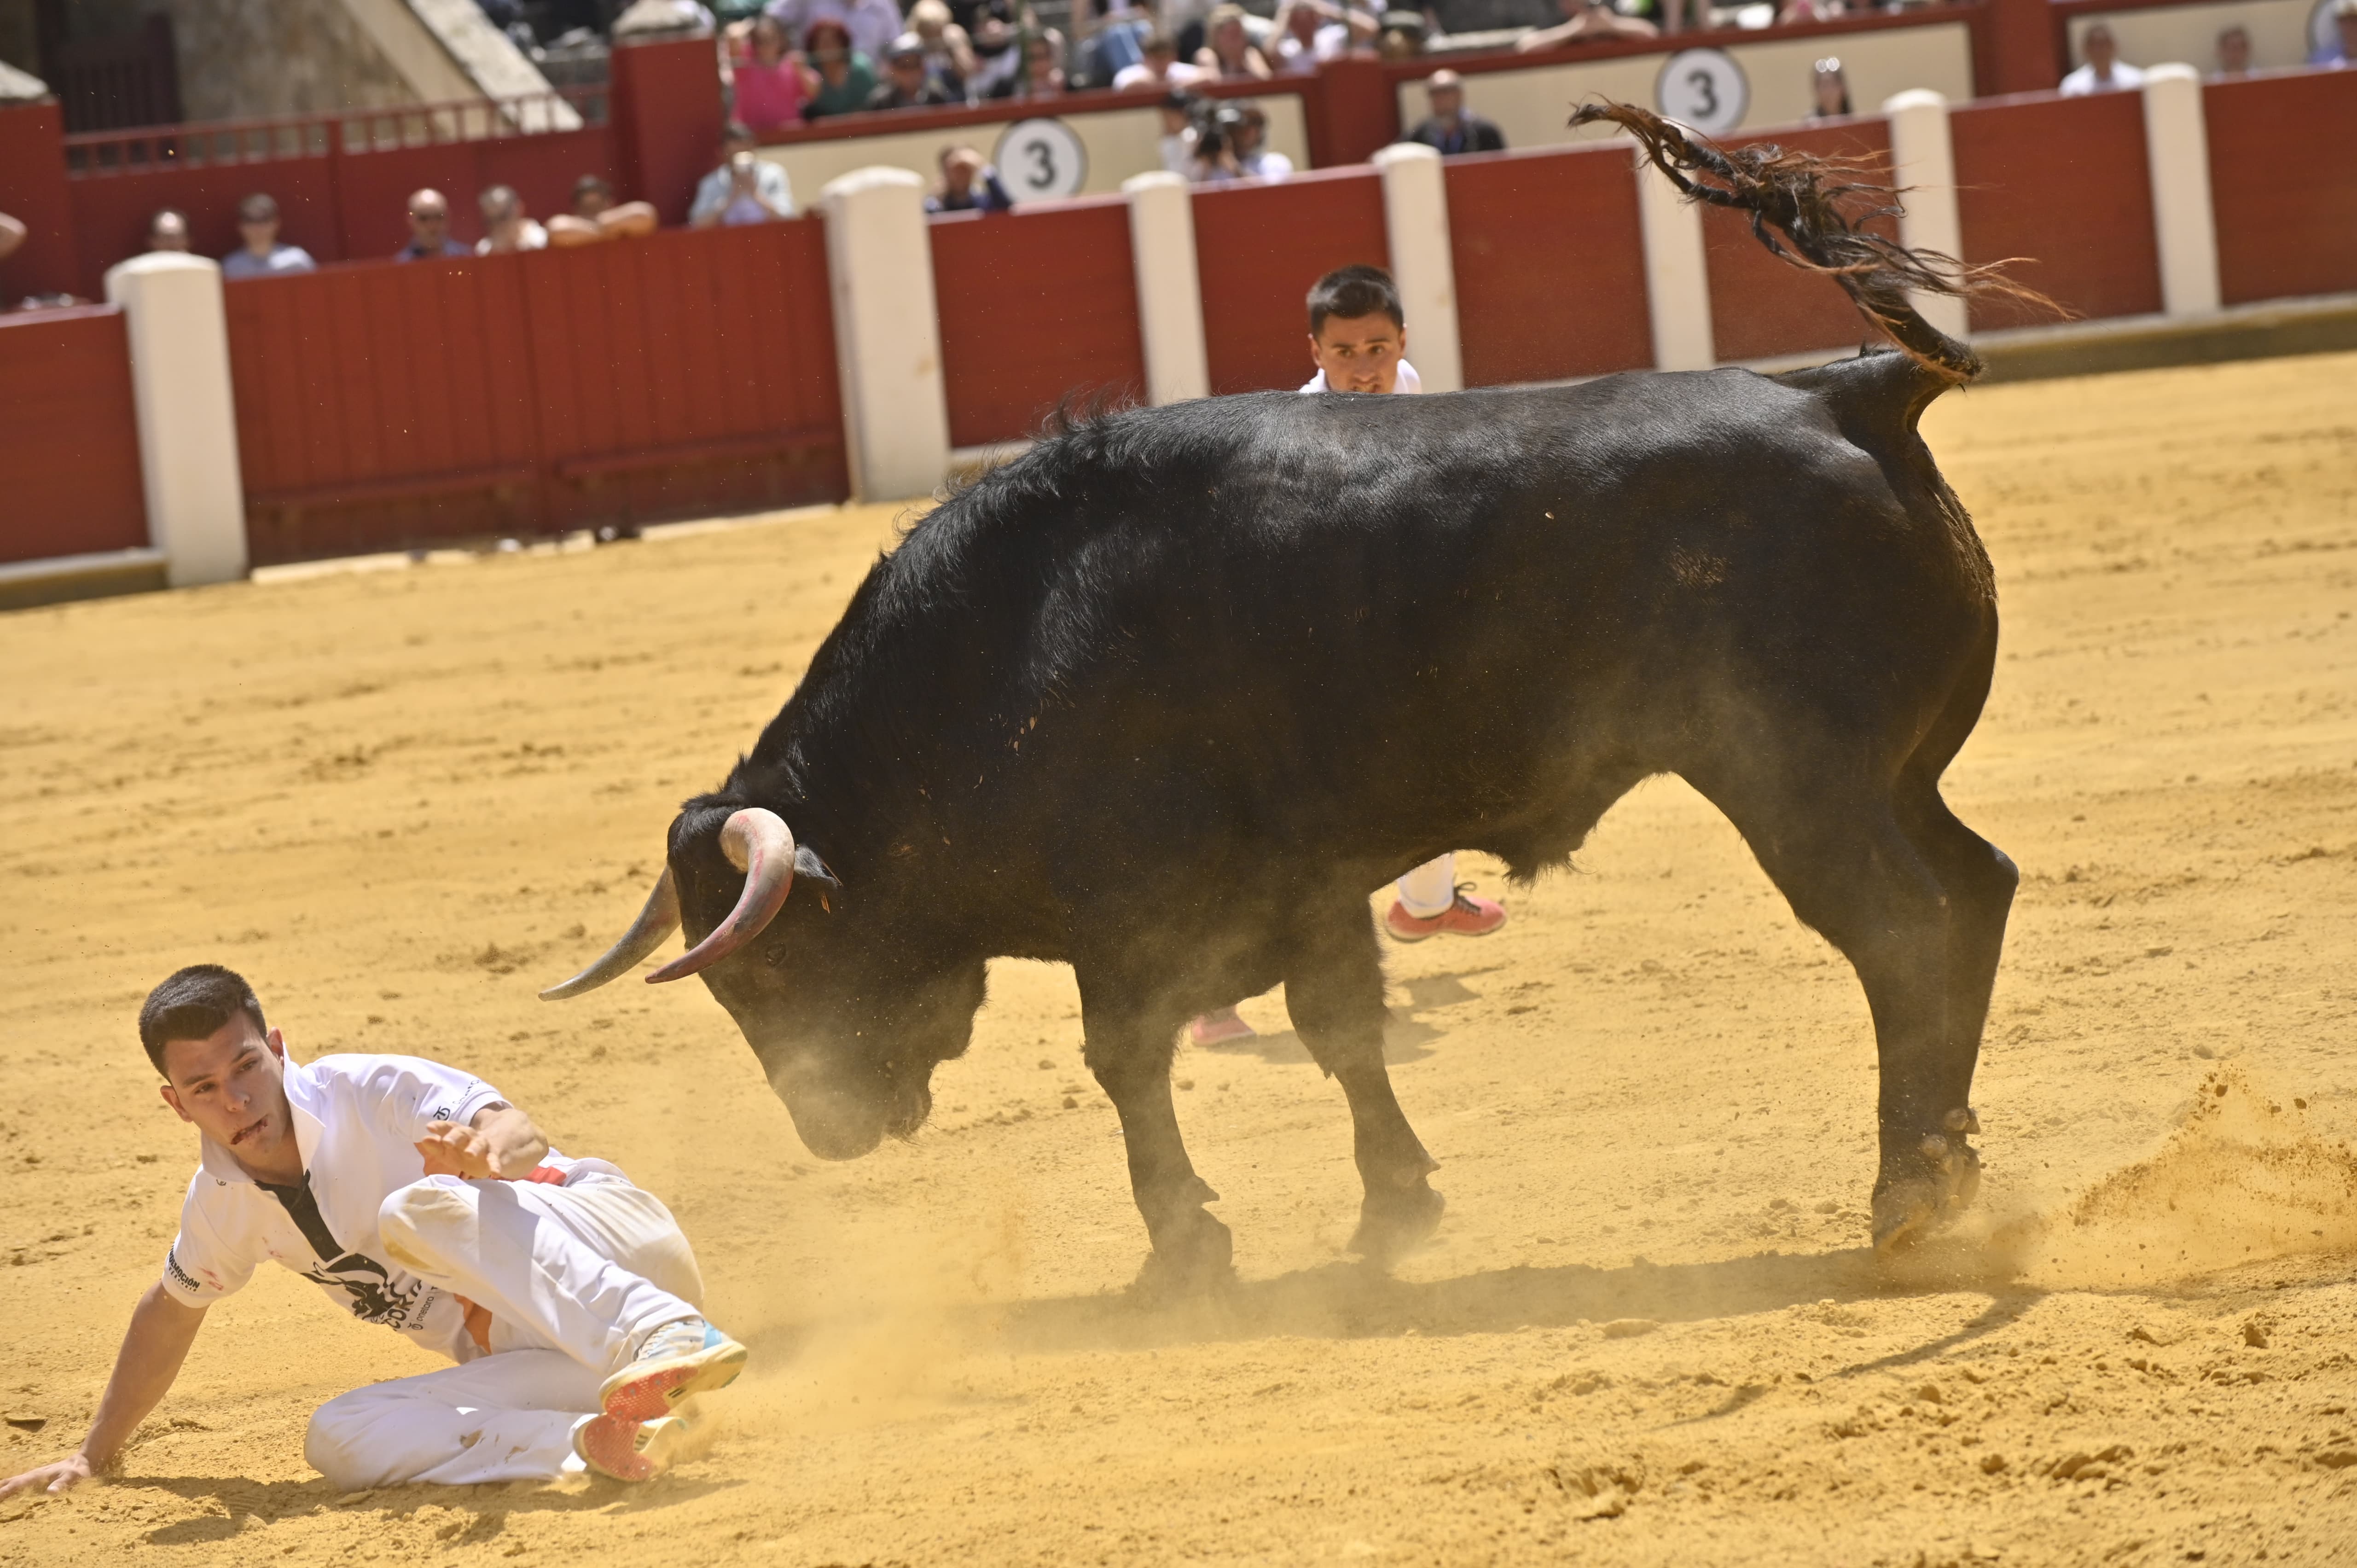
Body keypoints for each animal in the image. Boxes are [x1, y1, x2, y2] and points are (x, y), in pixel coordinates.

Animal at [540, 104, 2027, 1292]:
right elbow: (1339, 1027)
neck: (1010, 648)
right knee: (1977, 885)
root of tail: (1848, 396)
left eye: (768, 964)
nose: (829, 1130)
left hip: (1796, 780)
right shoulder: (1303, 881)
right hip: (1894, 776)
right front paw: (1392, 1210)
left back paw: (1902, 1190)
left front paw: (1184, 1249)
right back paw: (1951, 1159)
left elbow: (1126, 1061)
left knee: (1898, 926)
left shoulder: (1130, 912)